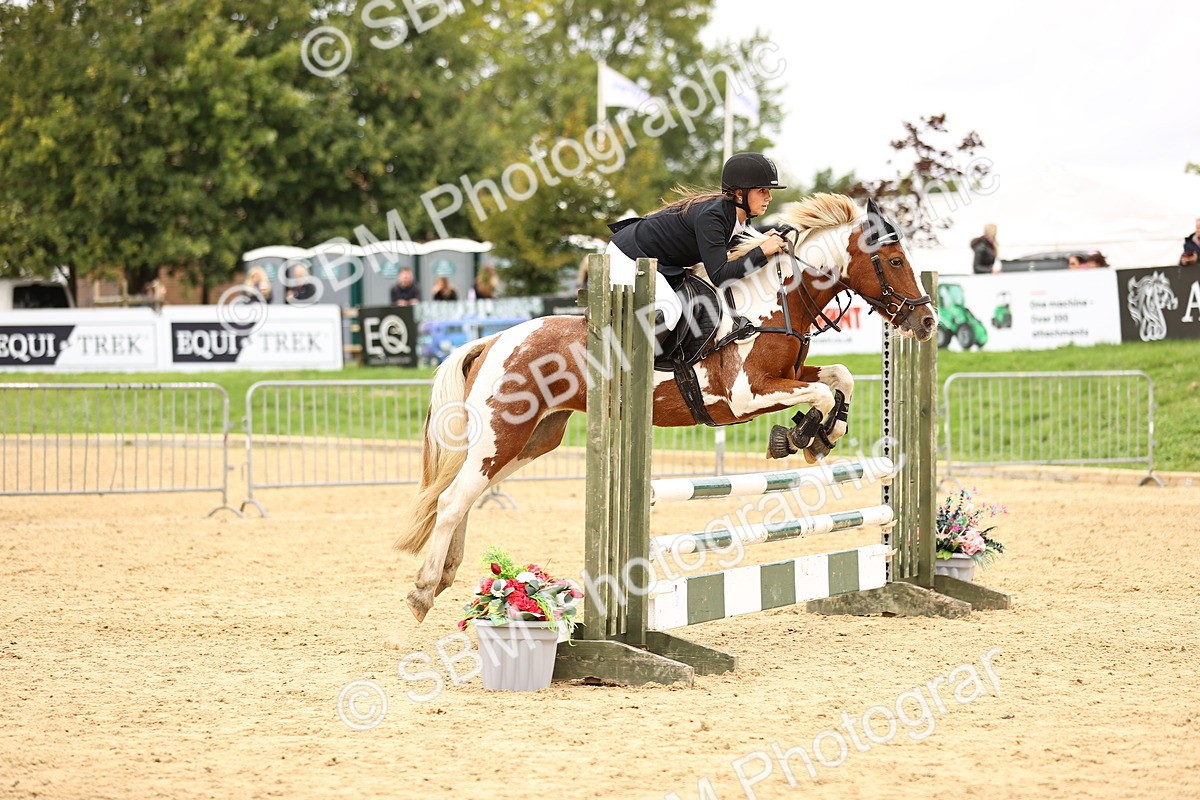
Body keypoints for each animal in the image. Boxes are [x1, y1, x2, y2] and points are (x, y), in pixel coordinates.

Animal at [395, 193, 938, 622]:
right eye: (894, 262)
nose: (928, 321)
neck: (769, 307)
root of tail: (493, 340)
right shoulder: (747, 396)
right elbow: (822, 393)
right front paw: (803, 436)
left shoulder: (786, 378)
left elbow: (838, 378)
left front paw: (819, 435)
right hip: (503, 433)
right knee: (452, 499)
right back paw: (422, 592)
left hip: (533, 439)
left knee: (463, 494)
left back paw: (443, 576)